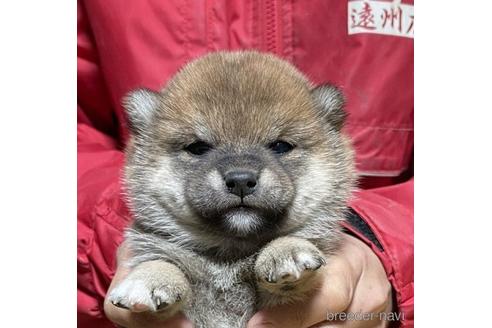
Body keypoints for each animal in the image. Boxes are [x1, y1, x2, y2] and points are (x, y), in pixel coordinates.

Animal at [108, 50, 354, 328]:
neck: (229, 258)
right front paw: (150, 278)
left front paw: (285, 249)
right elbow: (162, 261)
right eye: (198, 148)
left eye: (280, 146)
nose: (241, 180)